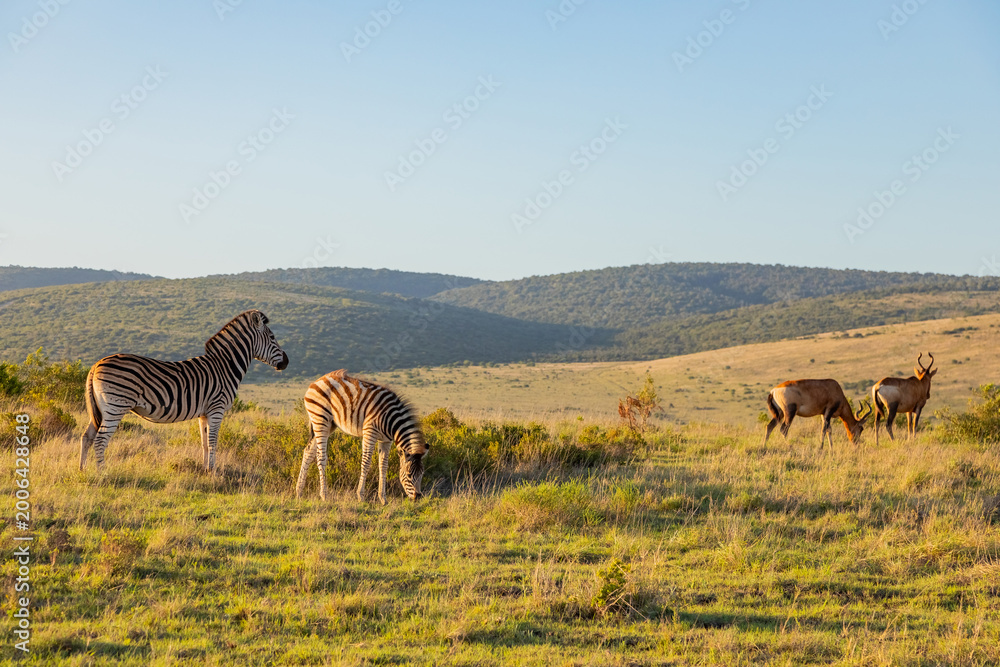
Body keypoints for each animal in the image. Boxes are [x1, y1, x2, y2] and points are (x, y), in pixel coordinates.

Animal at [80, 309, 289, 472]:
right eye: (272, 338)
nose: (286, 362)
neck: (224, 367)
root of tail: (95, 365)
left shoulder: (204, 413)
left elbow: (204, 443)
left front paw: (205, 470)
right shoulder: (217, 408)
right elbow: (213, 442)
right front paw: (213, 472)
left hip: (100, 409)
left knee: (87, 437)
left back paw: (82, 471)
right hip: (116, 406)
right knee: (100, 440)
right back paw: (102, 473)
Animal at [296, 370, 428, 504]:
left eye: (422, 474)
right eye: (408, 475)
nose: (418, 497)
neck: (391, 421)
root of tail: (317, 381)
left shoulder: (386, 440)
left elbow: (383, 466)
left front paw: (383, 499)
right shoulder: (370, 433)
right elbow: (366, 462)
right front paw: (360, 496)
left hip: (329, 424)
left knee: (308, 452)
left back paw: (299, 492)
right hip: (320, 419)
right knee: (320, 456)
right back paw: (324, 495)